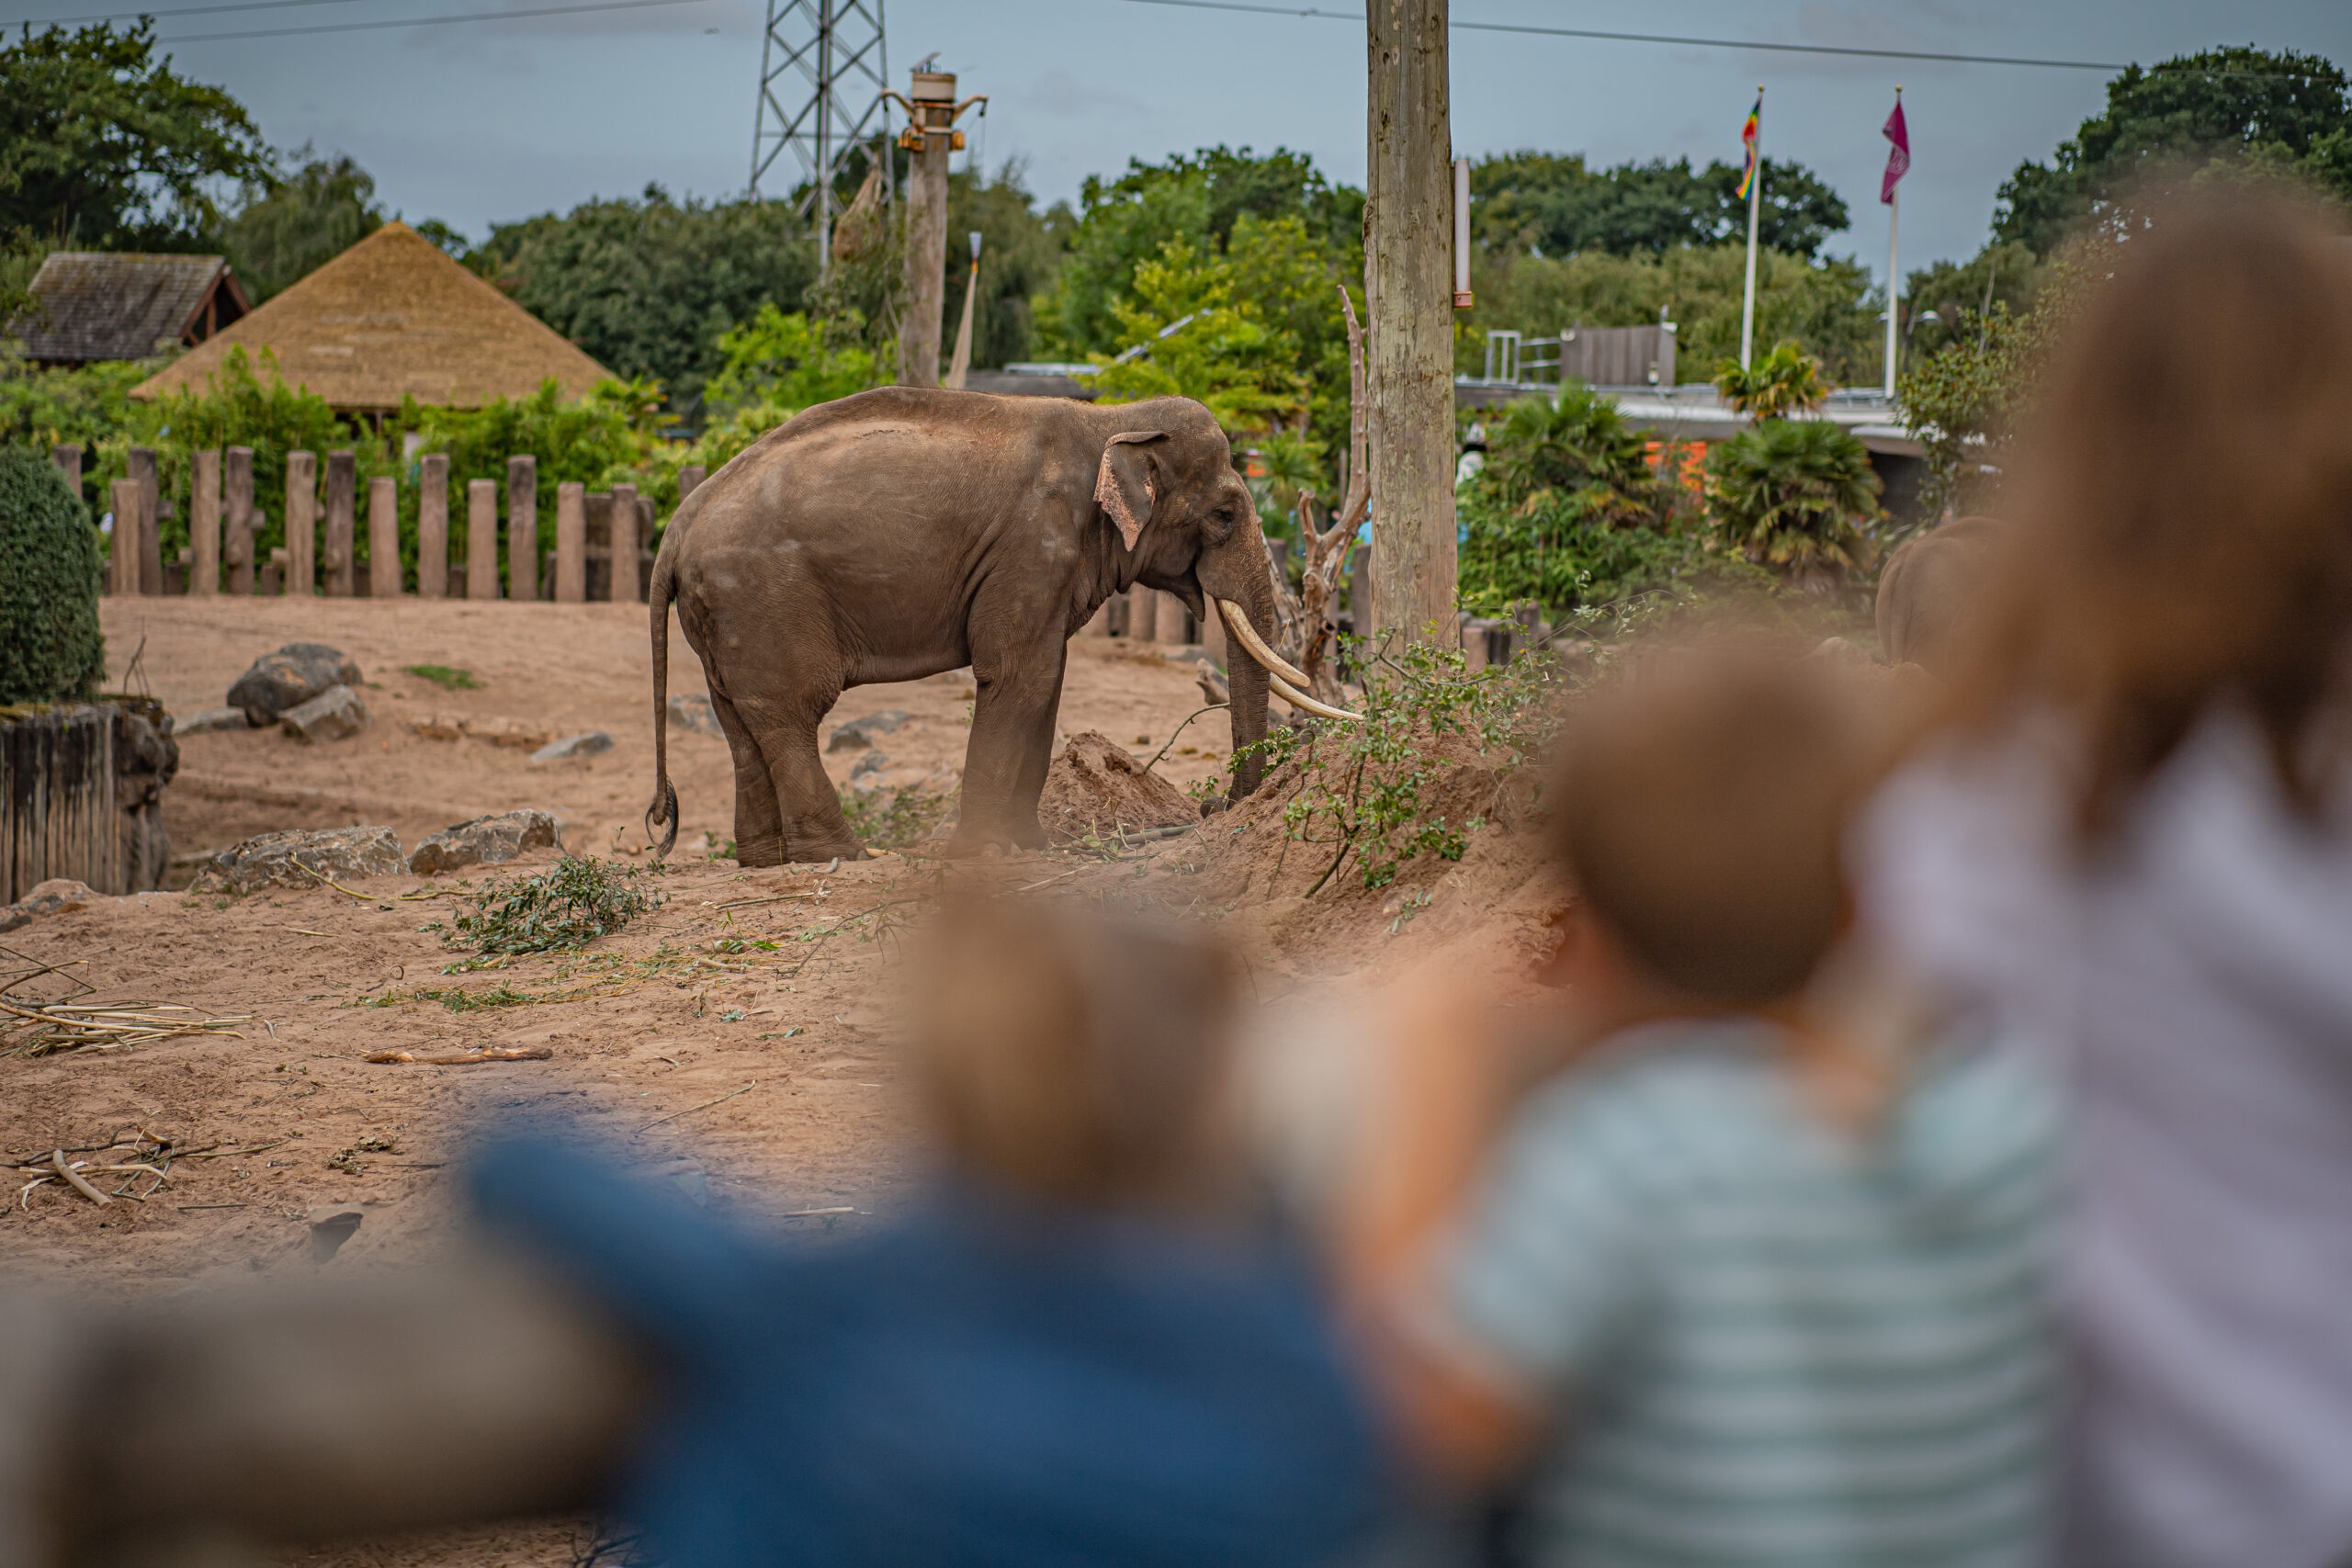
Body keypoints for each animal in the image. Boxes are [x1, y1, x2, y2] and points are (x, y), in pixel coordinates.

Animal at [645, 388, 1356, 864]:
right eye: (1226, 514)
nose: (1215, 807)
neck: (1113, 419)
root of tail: (677, 524)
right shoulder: (1032, 549)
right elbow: (1018, 676)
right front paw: (980, 853)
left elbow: (1046, 682)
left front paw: (1029, 845)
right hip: (765, 599)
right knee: (793, 713)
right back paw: (845, 857)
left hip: (726, 617)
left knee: (741, 721)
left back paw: (765, 861)